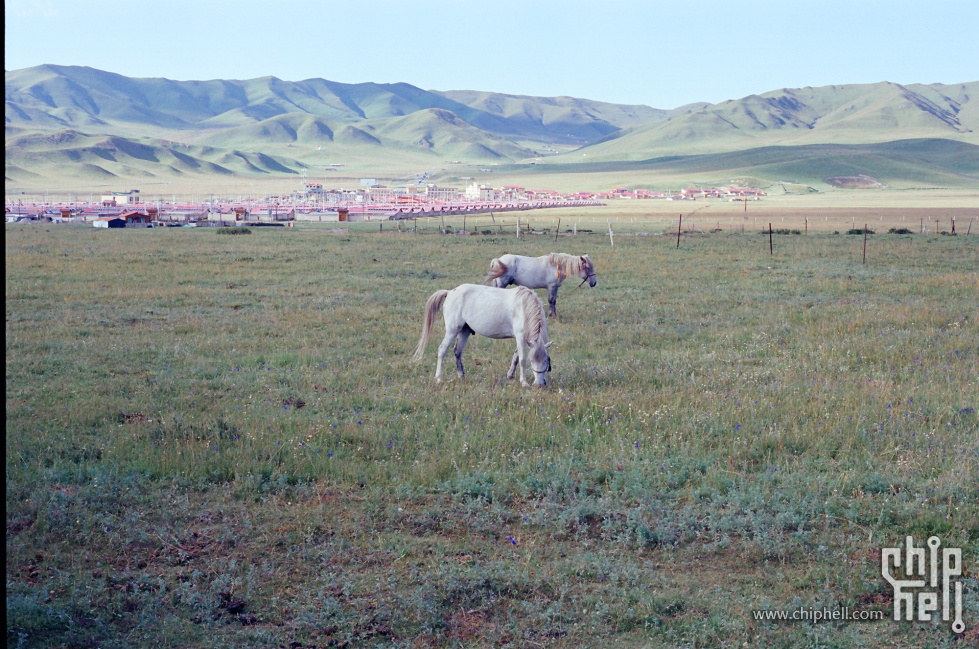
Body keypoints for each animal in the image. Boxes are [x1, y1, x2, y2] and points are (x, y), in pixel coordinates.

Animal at [412, 284, 552, 384]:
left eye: (546, 360)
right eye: (532, 360)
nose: (539, 384)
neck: (523, 307)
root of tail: (450, 292)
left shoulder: (521, 339)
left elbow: (516, 358)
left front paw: (509, 376)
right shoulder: (520, 337)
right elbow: (522, 359)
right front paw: (523, 382)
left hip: (464, 331)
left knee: (457, 351)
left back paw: (461, 376)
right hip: (452, 330)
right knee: (442, 350)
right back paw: (439, 378)